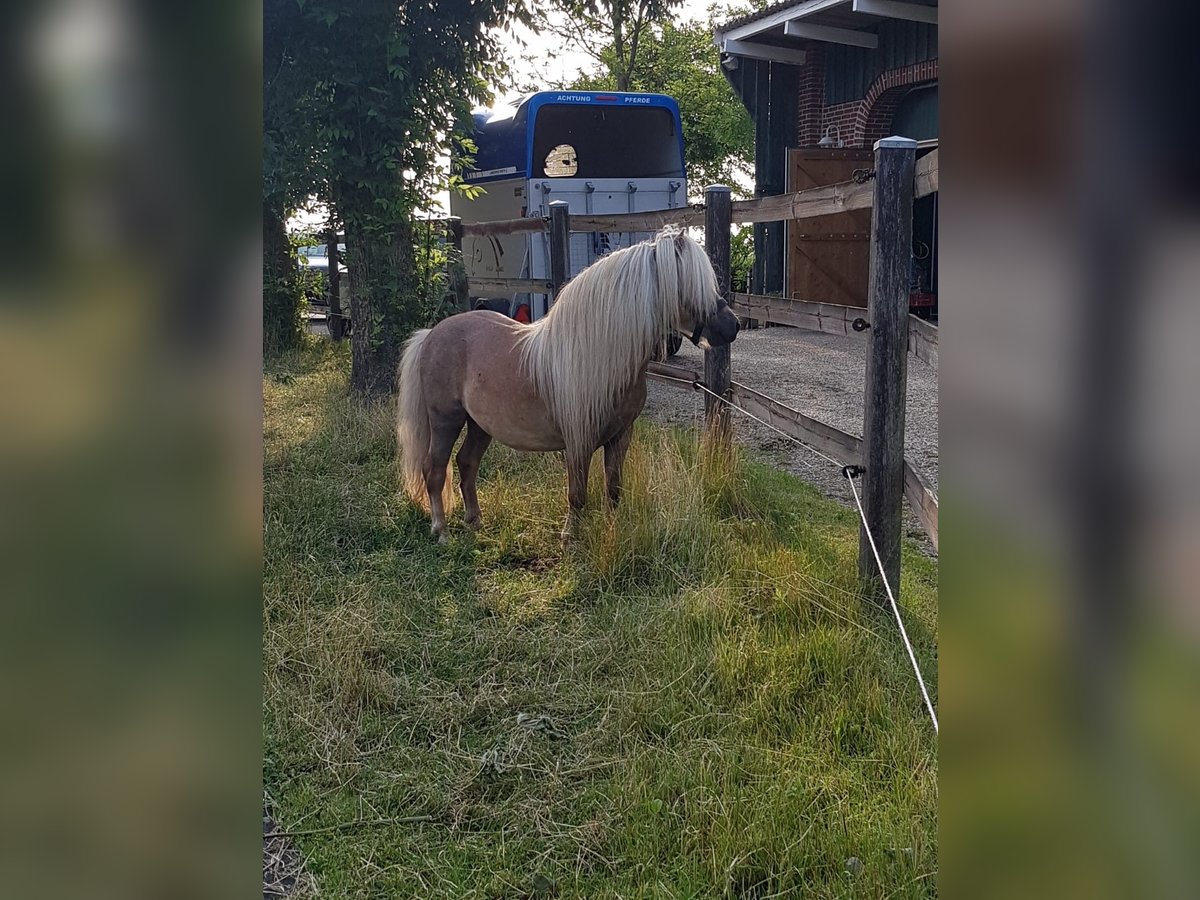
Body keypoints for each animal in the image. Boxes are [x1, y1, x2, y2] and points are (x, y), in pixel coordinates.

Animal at [398, 230, 734, 542]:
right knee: (434, 470)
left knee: (466, 463)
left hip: (480, 425)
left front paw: (612, 532)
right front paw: (570, 537)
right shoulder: (578, 441)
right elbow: (577, 494)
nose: (733, 326)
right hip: (446, 421)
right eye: (688, 284)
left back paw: (474, 521)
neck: (601, 358)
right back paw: (441, 530)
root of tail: (430, 335)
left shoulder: (620, 437)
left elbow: (613, 490)